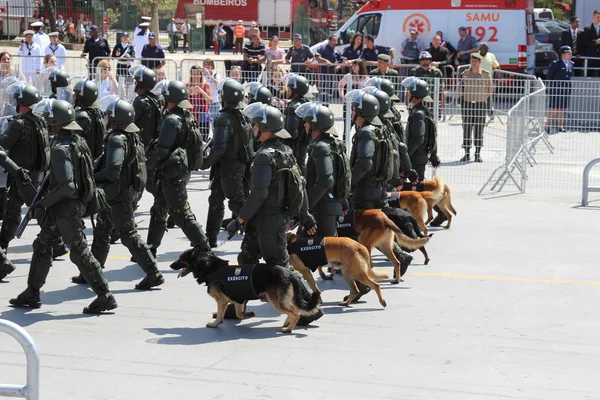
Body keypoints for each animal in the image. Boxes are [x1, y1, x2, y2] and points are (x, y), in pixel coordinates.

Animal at [171, 247, 322, 334]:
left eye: (181, 258)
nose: (170, 265)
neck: (208, 265)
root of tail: (291, 273)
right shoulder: (238, 299)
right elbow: (238, 314)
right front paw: (246, 315)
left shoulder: (221, 301)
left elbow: (222, 315)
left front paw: (215, 324)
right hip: (279, 300)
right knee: (293, 310)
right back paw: (287, 323)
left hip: (276, 301)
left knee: (295, 313)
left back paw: (289, 328)